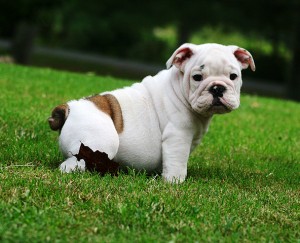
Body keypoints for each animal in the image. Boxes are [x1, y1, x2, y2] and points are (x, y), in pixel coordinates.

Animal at [49, 42, 255, 182]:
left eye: (233, 76)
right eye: (197, 77)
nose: (217, 88)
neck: (180, 89)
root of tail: (68, 108)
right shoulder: (178, 136)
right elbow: (177, 163)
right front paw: (174, 182)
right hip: (99, 143)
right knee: (70, 166)